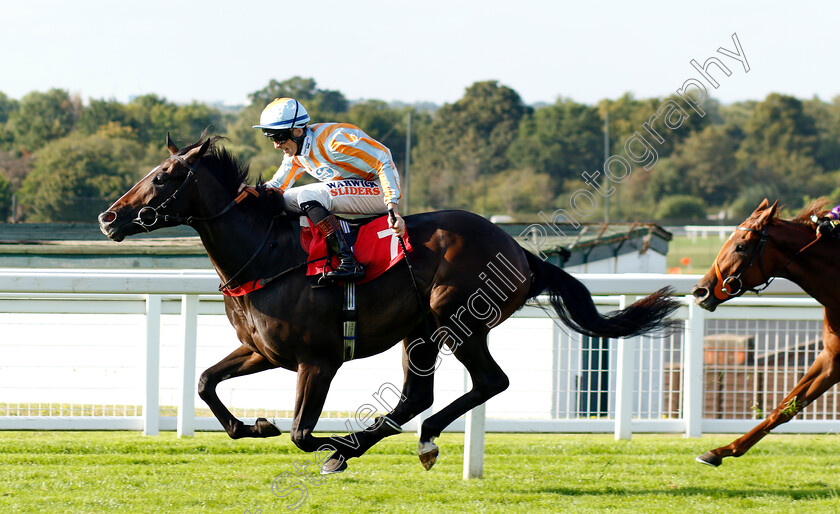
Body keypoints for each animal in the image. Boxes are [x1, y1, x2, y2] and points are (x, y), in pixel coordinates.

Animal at [100, 136, 676, 472]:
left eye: (163, 177)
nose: (108, 218)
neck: (267, 254)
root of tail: (521, 251)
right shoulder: (263, 351)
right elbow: (204, 381)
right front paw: (251, 426)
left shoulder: (319, 360)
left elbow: (302, 433)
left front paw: (324, 444)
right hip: (419, 329)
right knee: (419, 395)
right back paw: (398, 440)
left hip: (455, 318)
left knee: (487, 382)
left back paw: (380, 444)